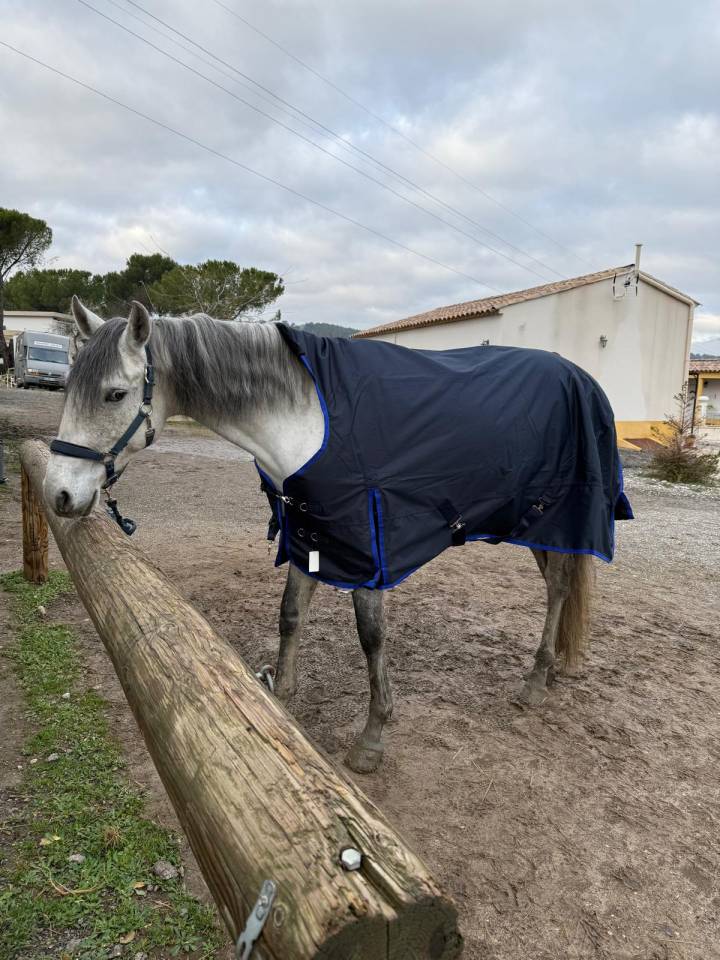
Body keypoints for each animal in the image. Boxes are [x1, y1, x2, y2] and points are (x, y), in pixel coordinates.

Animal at [44, 297, 601, 774]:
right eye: (68, 387)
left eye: (115, 394)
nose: (58, 494)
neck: (309, 422)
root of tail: (580, 377)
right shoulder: (306, 531)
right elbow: (291, 615)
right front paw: (282, 694)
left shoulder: (369, 549)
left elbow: (371, 637)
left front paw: (372, 738)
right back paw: (552, 669)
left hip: (555, 520)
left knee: (559, 589)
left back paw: (536, 680)